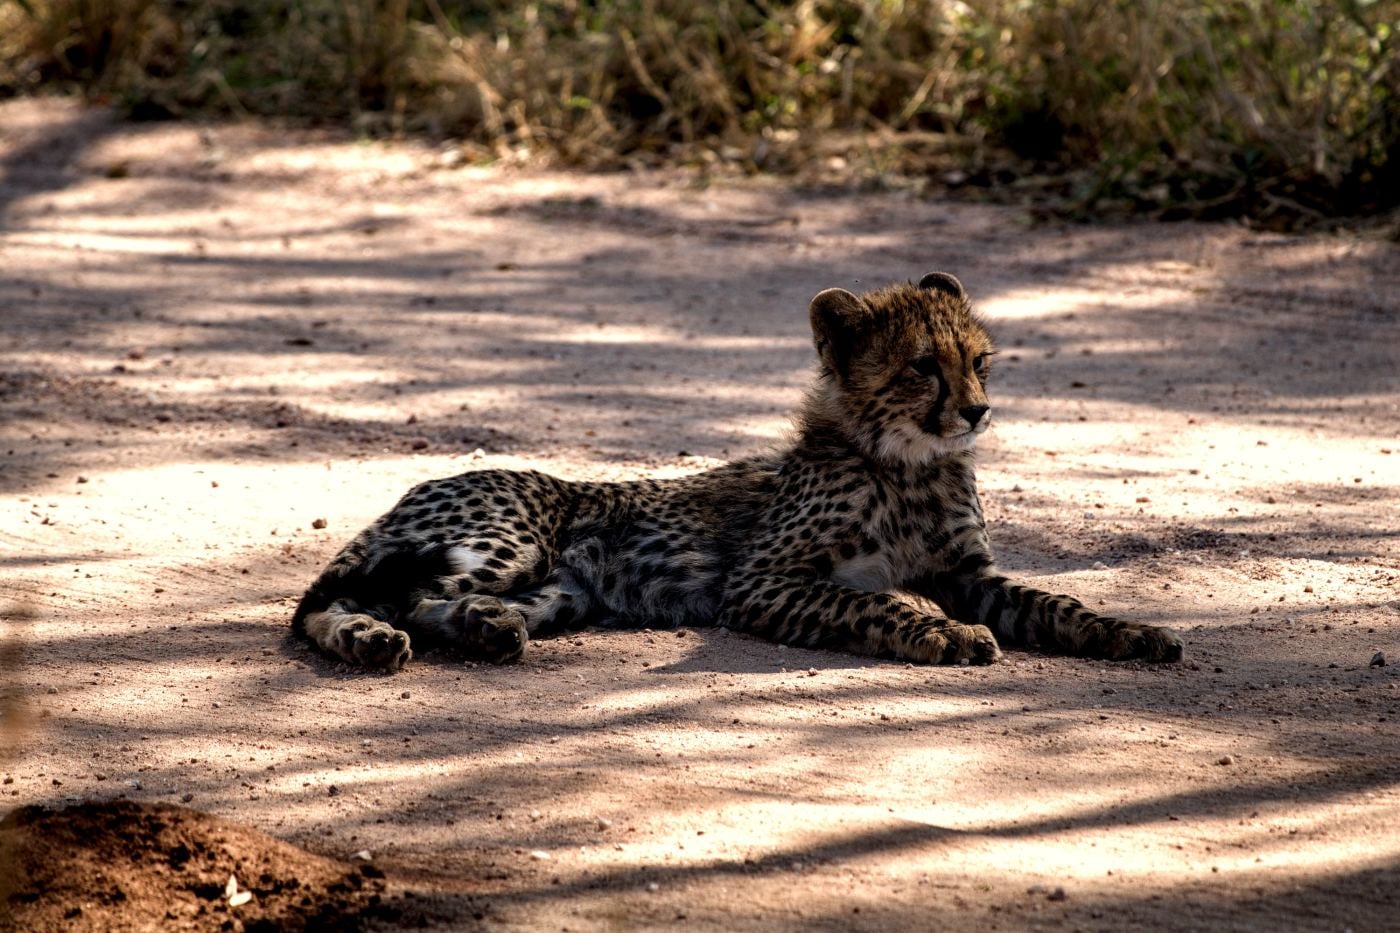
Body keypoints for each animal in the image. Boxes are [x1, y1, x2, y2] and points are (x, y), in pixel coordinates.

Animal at [292, 272, 1184, 671]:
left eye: (981, 362)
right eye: (924, 367)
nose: (977, 412)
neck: (907, 463)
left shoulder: (970, 571)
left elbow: (1053, 601)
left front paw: (1131, 631)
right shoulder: (761, 580)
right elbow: (874, 600)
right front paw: (944, 631)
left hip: (560, 590)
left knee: (418, 603)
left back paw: (479, 628)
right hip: (507, 541)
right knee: (343, 600)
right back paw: (375, 637)